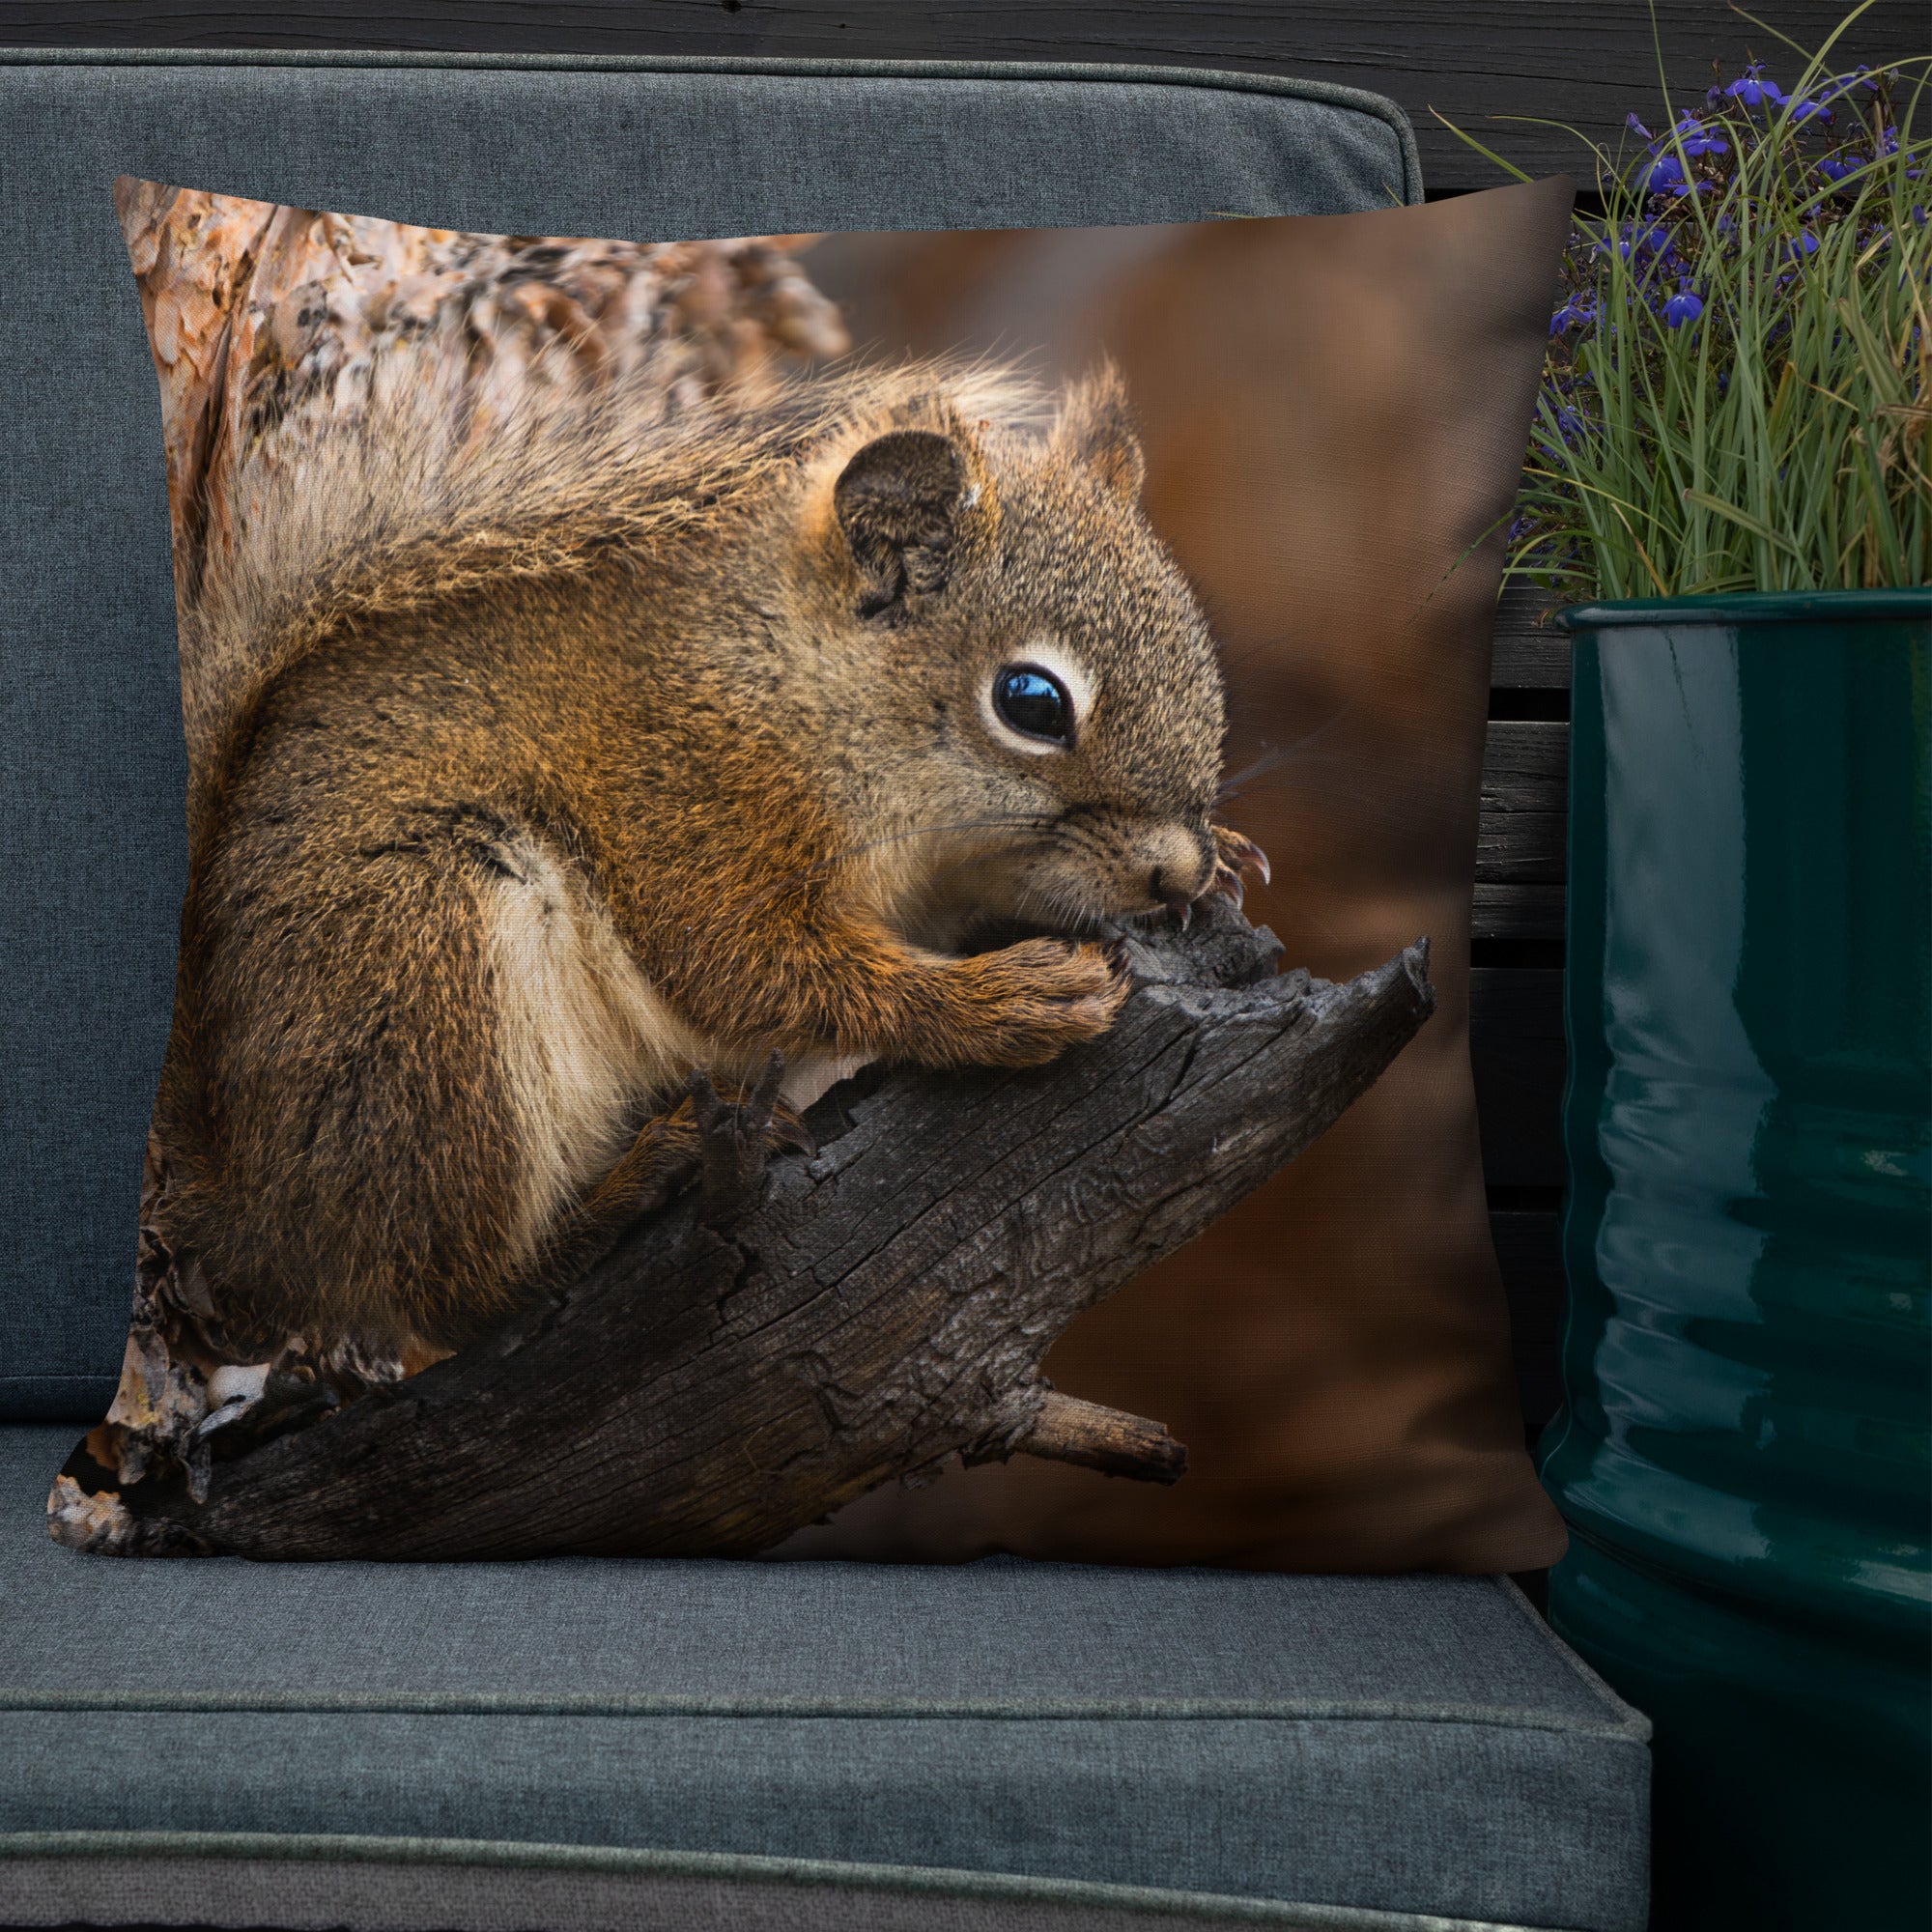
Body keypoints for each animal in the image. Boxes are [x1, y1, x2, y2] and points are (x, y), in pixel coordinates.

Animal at [150, 350, 1267, 1364]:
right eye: (1031, 702)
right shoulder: (690, 800)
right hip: (426, 967)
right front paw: (1005, 1001)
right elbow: (744, 965)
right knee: (453, 1290)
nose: (1172, 870)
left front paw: (1226, 860)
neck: (792, 678)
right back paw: (634, 1183)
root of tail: (262, 1208)